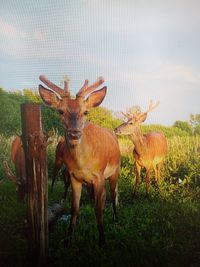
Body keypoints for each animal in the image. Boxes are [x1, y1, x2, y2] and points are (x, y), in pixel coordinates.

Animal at [38, 75, 120, 247]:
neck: (83, 164)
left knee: (113, 193)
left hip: (115, 171)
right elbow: (74, 208)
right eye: (61, 111)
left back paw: (116, 219)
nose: (74, 133)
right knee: (104, 196)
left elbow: (97, 210)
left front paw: (102, 240)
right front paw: (68, 239)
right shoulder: (74, 177)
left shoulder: (99, 175)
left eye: (85, 111)